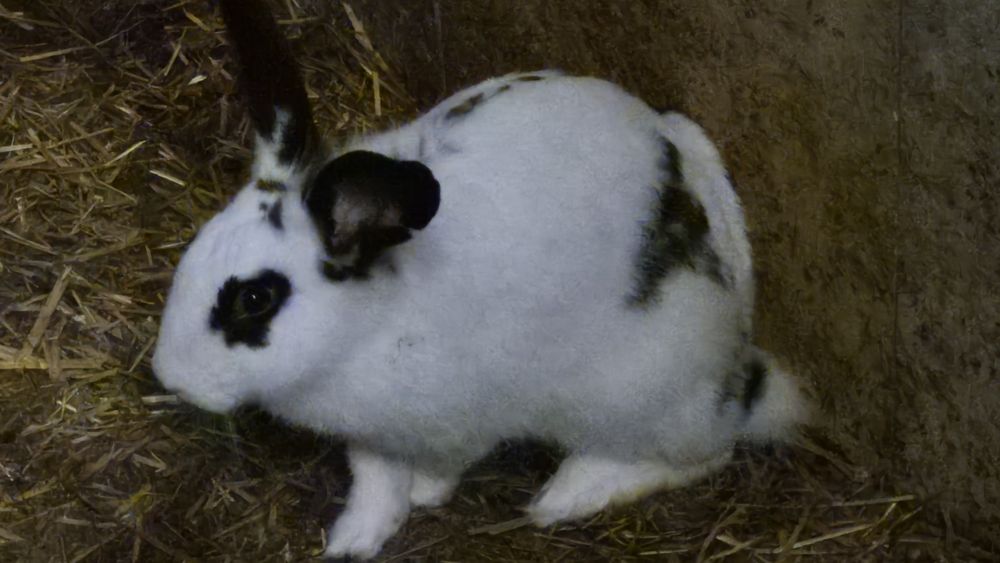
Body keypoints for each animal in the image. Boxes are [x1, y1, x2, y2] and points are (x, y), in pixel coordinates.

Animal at [152, 0, 807, 559]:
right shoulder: (371, 433)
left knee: (707, 450)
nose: (171, 379)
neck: (369, 328)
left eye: (255, 297)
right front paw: (355, 539)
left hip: (639, 397)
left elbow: (441, 468)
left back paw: (568, 494)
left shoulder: (464, 423)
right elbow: (374, 480)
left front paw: (425, 495)